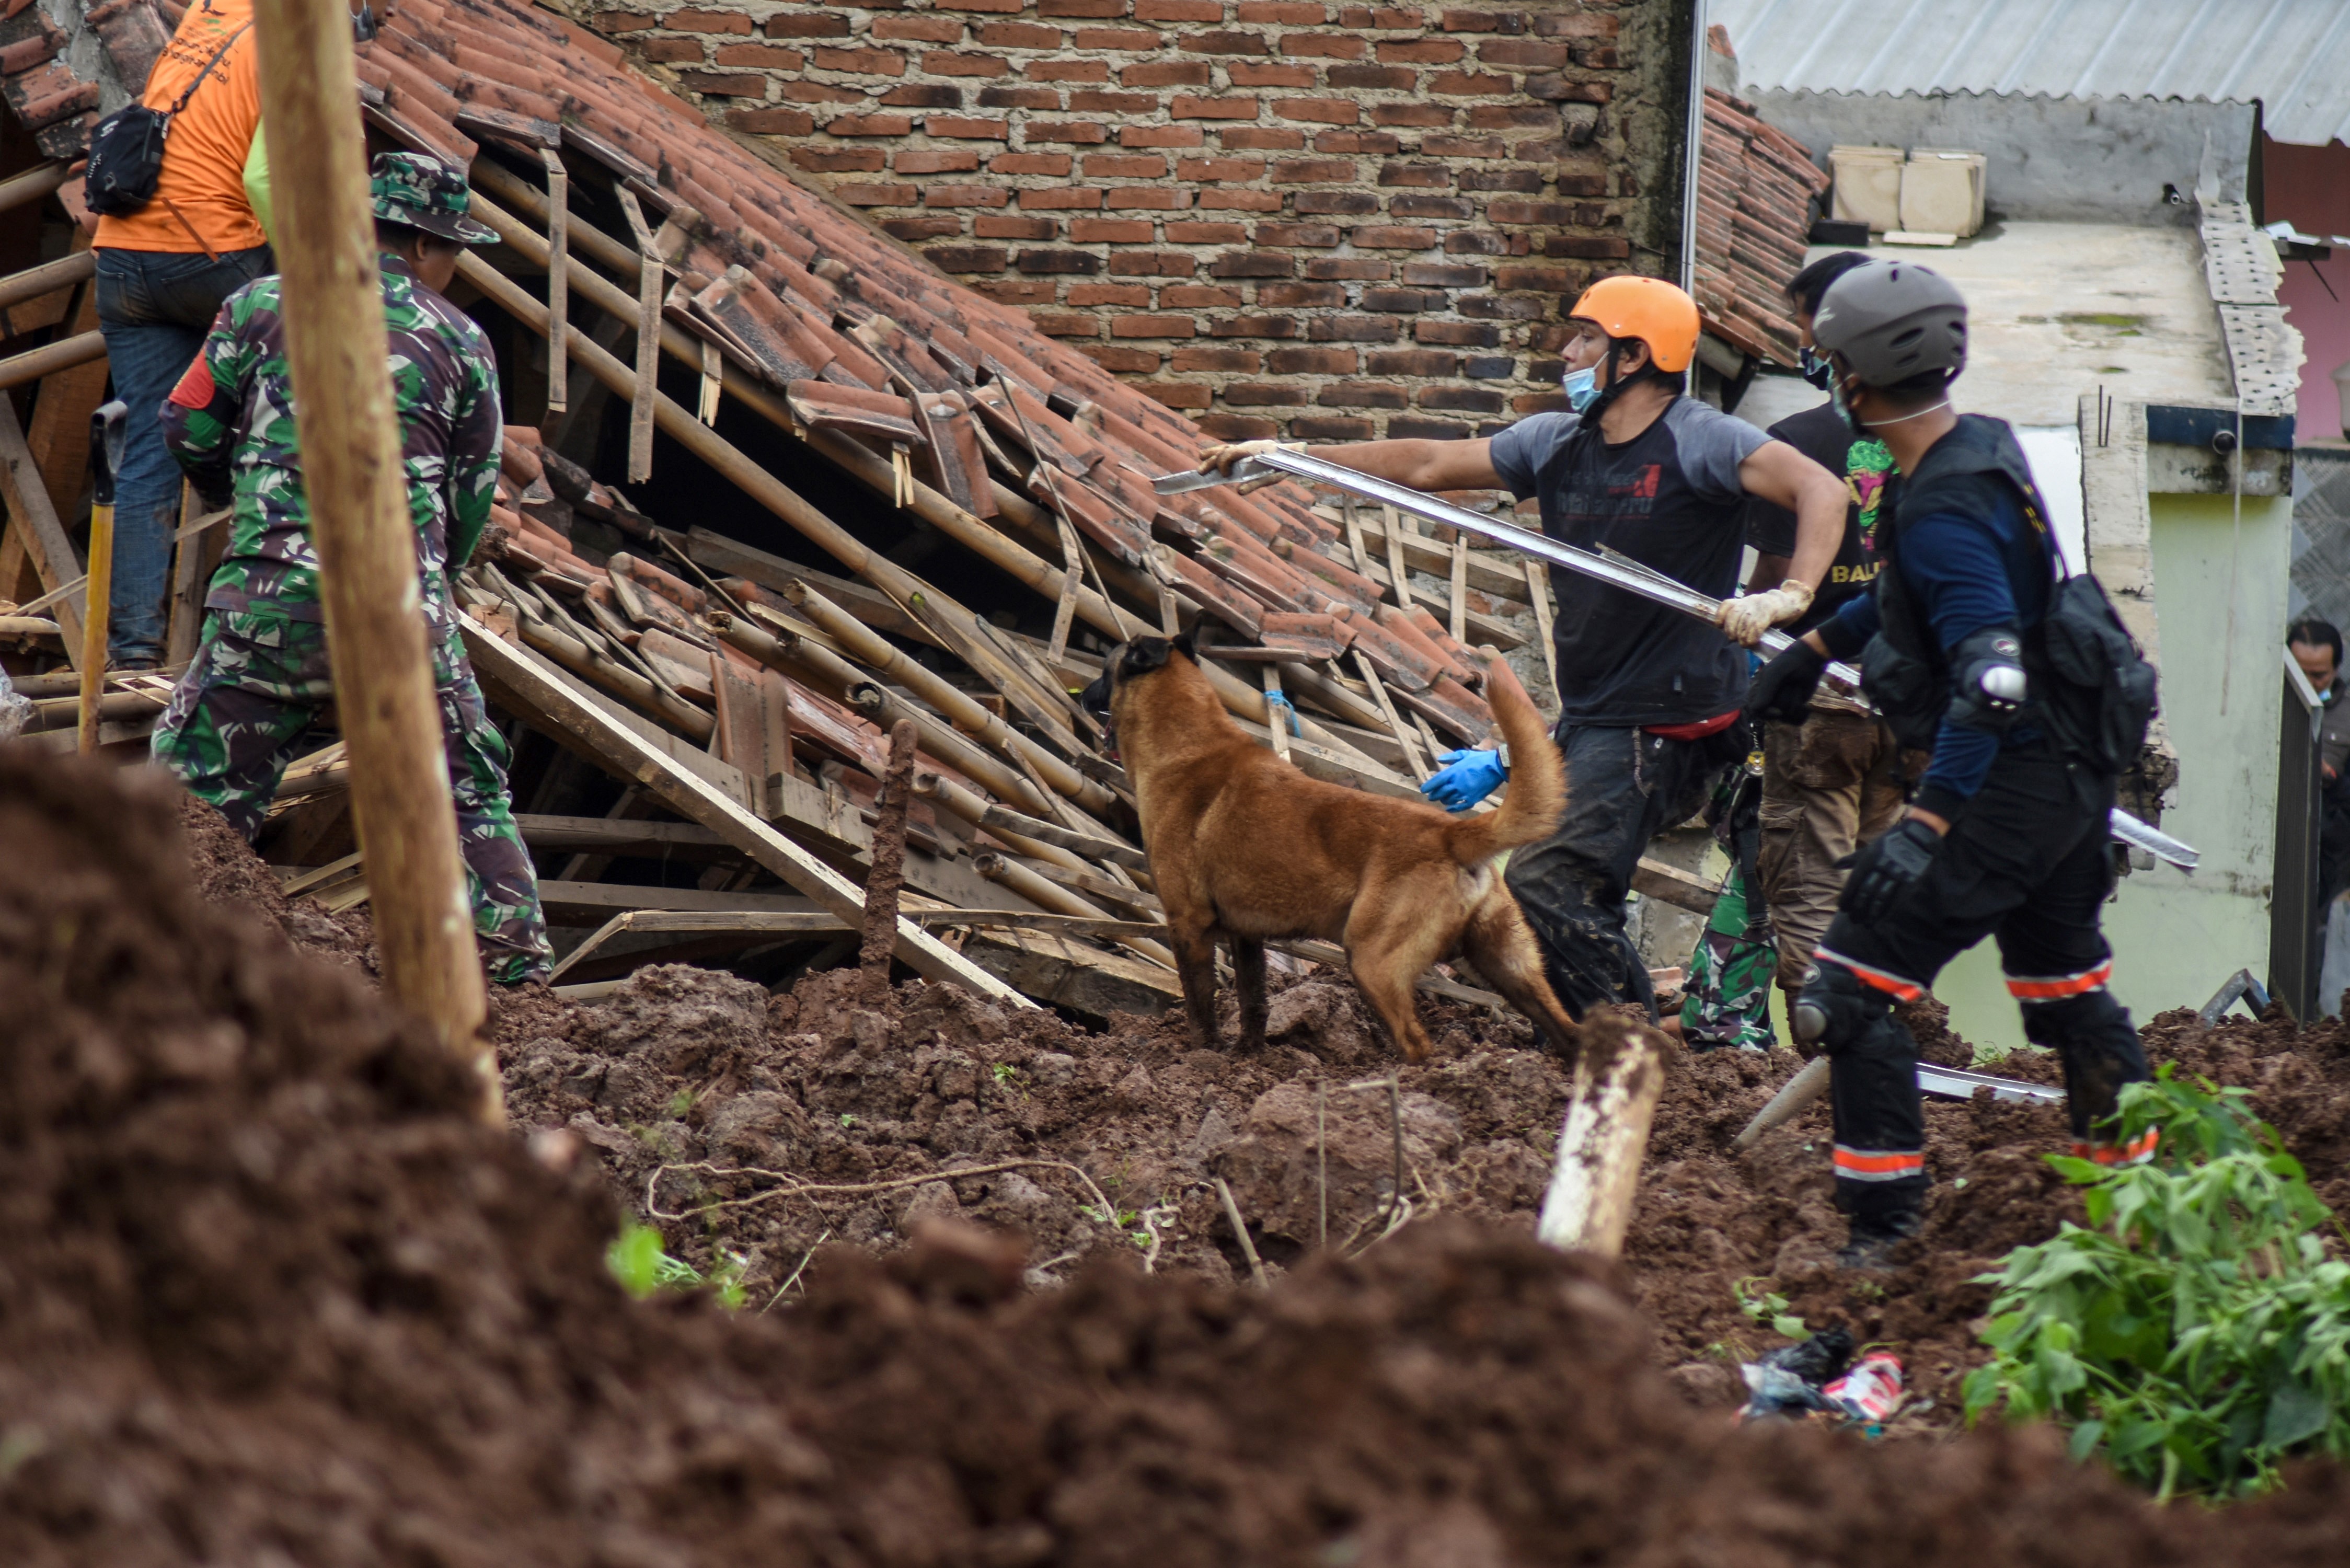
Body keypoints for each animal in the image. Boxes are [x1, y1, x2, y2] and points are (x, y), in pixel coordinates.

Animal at [1081, 635, 1579, 1067]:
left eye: (1105, 672)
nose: (1083, 694)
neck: (1188, 746)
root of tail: (1452, 835)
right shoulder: (1246, 936)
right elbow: (1253, 1004)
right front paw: (1247, 1061)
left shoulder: (1188, 924)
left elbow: (1200, 1007)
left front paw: (1199, 1060)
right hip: (1511, 967)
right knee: (1569, 1033)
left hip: (1374, 964)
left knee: (1417, 1045)